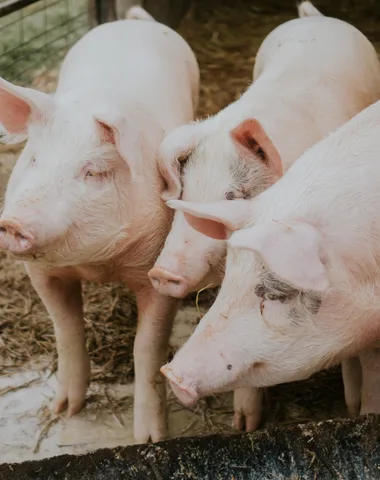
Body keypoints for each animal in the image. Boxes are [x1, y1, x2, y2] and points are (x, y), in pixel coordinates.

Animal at [0, 6, 200, 442]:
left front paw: (150, 438)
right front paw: (63, 412)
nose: (13, 222)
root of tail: (132, 20)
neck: (97, 264)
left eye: (93, 172)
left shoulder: (159, 270)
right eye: (33, 159)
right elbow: (66, 328)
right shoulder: (41, 273)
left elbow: (148, 348)